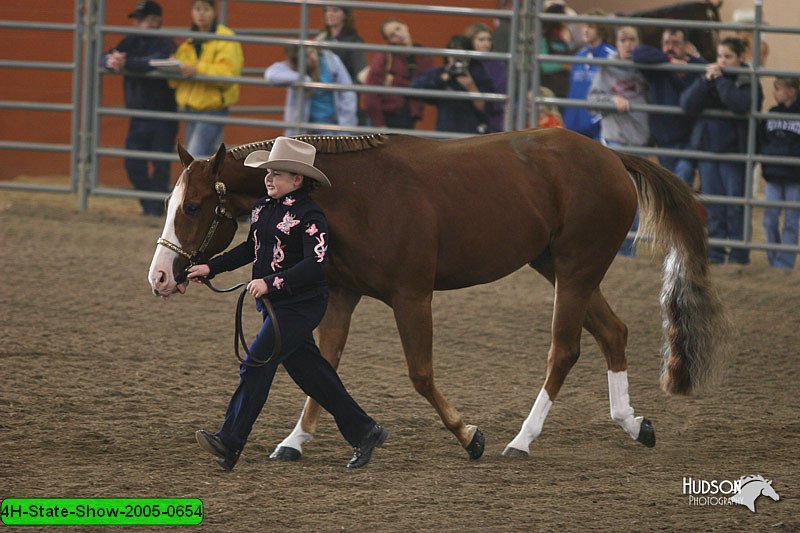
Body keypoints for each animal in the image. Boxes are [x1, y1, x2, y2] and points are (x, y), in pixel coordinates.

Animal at [147, 127, 728, 460]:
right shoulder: (342, 293)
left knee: (564, 350)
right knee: (614, 332)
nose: (161, 275)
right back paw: (634, 426)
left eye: (194, 205)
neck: (353, 195)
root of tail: (611, 157)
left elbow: (420, 373)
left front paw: (469, 435)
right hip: (559, 268)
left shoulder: (412, 296)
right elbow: (323, 366)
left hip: (577, 269)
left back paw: (521, 441)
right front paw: (295, 441)